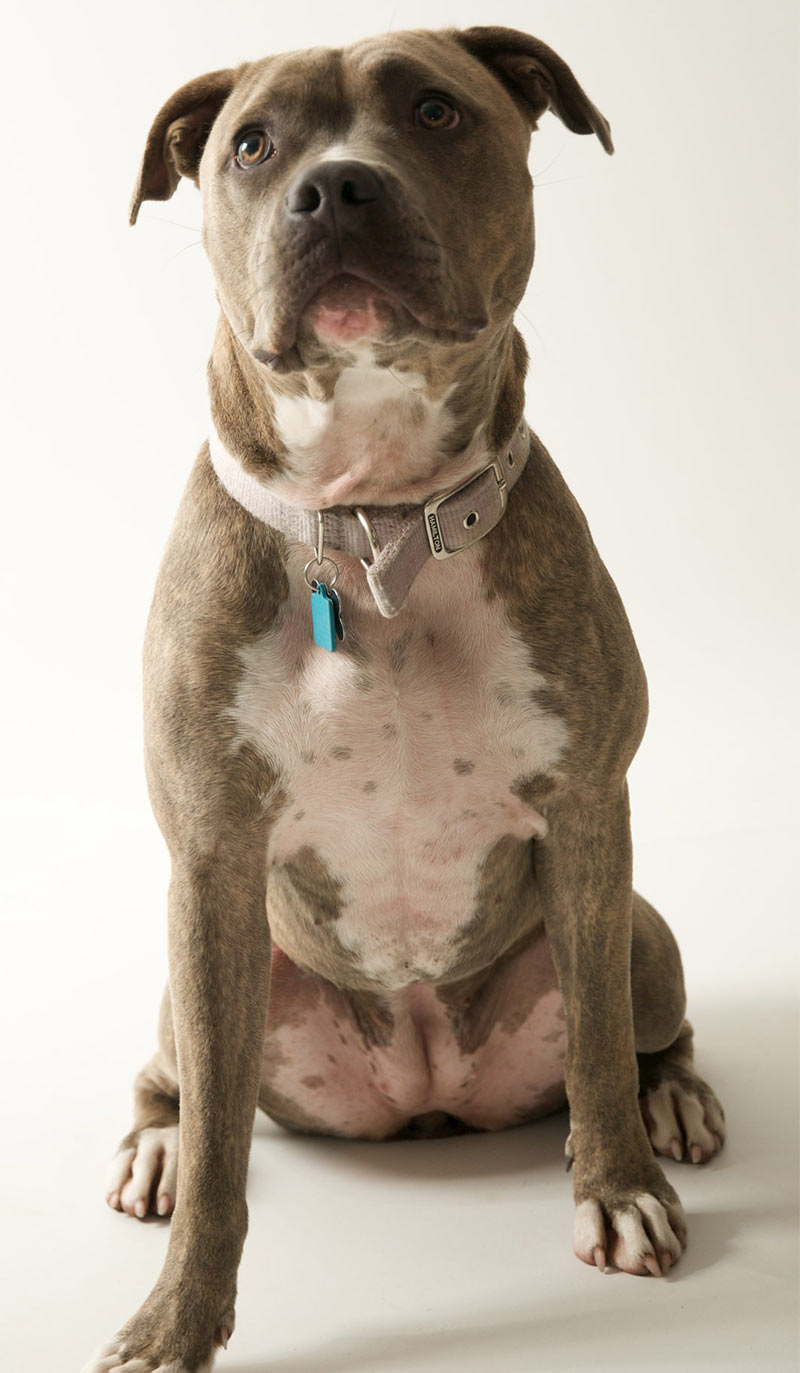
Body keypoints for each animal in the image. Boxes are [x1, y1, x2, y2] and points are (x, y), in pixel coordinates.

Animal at [83, 24, 724, 1373]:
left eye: (434, 111)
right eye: (252, 146)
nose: (335, 186)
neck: (376, 527)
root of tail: (426, 1090)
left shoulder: (587, 812)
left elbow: (594, 1046)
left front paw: (619, 1188)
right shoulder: (210, 855)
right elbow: (222, 1155)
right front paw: (175, 1318)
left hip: (640, 926)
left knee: (639, 1027)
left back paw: (675, 1097)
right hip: (199, 974)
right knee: (181, 1084)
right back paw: (154, 1143)